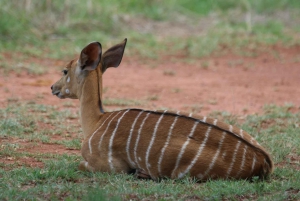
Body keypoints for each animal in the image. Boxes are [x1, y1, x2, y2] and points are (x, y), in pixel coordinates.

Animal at [50, 38, 274, 181]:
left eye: (65, 71)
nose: (53, 87)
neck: (97, 120)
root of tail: (264, 161)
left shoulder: (110, 167)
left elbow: (80, 164)